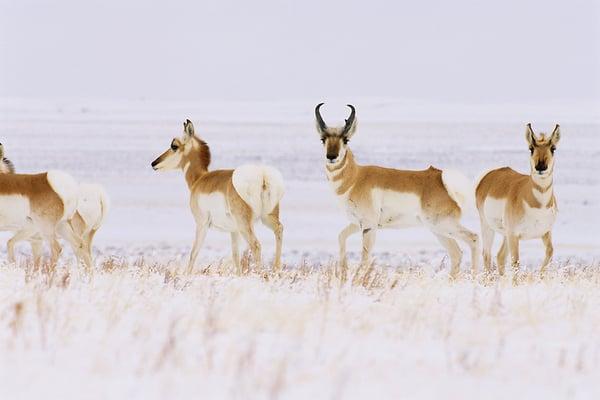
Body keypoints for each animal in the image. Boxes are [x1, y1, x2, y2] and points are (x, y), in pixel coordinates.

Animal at [151, 119, 284, 276]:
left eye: (174, 146)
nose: (154, 163)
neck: (200, 179)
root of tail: (262, 176)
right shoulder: (234, 231)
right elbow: (235, 256)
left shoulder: (201, 224)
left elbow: (194, 253)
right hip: (266, 218)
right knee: (279, 230)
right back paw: (277, 269)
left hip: (245, 224)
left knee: (256, 245)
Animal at [314, 103, 478, 280]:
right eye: (323, 139)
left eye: (346, 139)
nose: (331, 156)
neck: (356, 178)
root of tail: (441, 179)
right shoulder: (357, 223)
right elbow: (341, 236)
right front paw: (343, 271)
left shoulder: (369, 226)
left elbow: (365, 258)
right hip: (439, 230)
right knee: (456, 253)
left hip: (443, 225)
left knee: (473, 239)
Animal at [476, 123, 560, 276]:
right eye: (531, 148)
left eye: (553, 148)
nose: (540, 166)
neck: (538, 204)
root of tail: (489, 176)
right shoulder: (514, 235)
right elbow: (516, 263)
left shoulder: (545, 232)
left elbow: (550, 252)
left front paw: (540, 276)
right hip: (488, 226)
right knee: (487, 255)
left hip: (505, 234)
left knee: (500, 256)